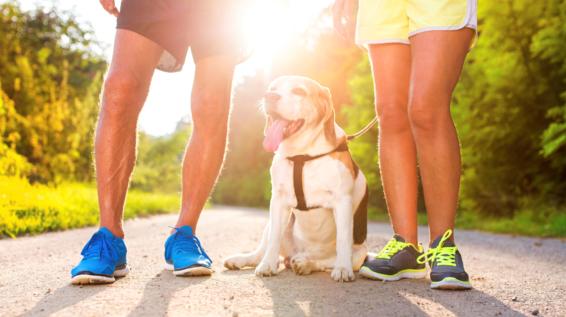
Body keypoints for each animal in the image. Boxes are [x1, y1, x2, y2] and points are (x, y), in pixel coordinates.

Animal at [224, 75, 370, 280]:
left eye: (299, 91)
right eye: (272, 88)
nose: (269, 96)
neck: (302, 154)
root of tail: (299, 253)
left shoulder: (342, 202)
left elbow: (343, 240)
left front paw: (342, 269)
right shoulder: (278, 201)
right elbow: (273, 240)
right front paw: (267, 265)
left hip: (361, 253)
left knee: (325, 261)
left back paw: (306, 263)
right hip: (273, 223)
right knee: (262, 251)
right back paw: (243, 260)